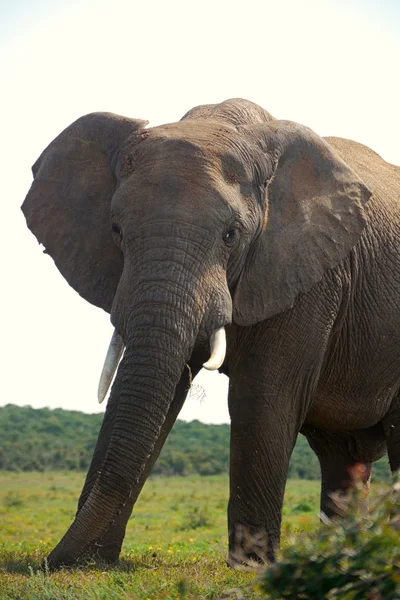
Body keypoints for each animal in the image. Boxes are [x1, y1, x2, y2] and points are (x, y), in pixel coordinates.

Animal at [21, 97, 400, 568]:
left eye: (230, 235)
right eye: (116, 231)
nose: (48, 563)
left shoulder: (312, 275)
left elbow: (262, 394)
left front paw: (253, 568)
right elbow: (156, 389)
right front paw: (92, 563)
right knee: (340, 458)